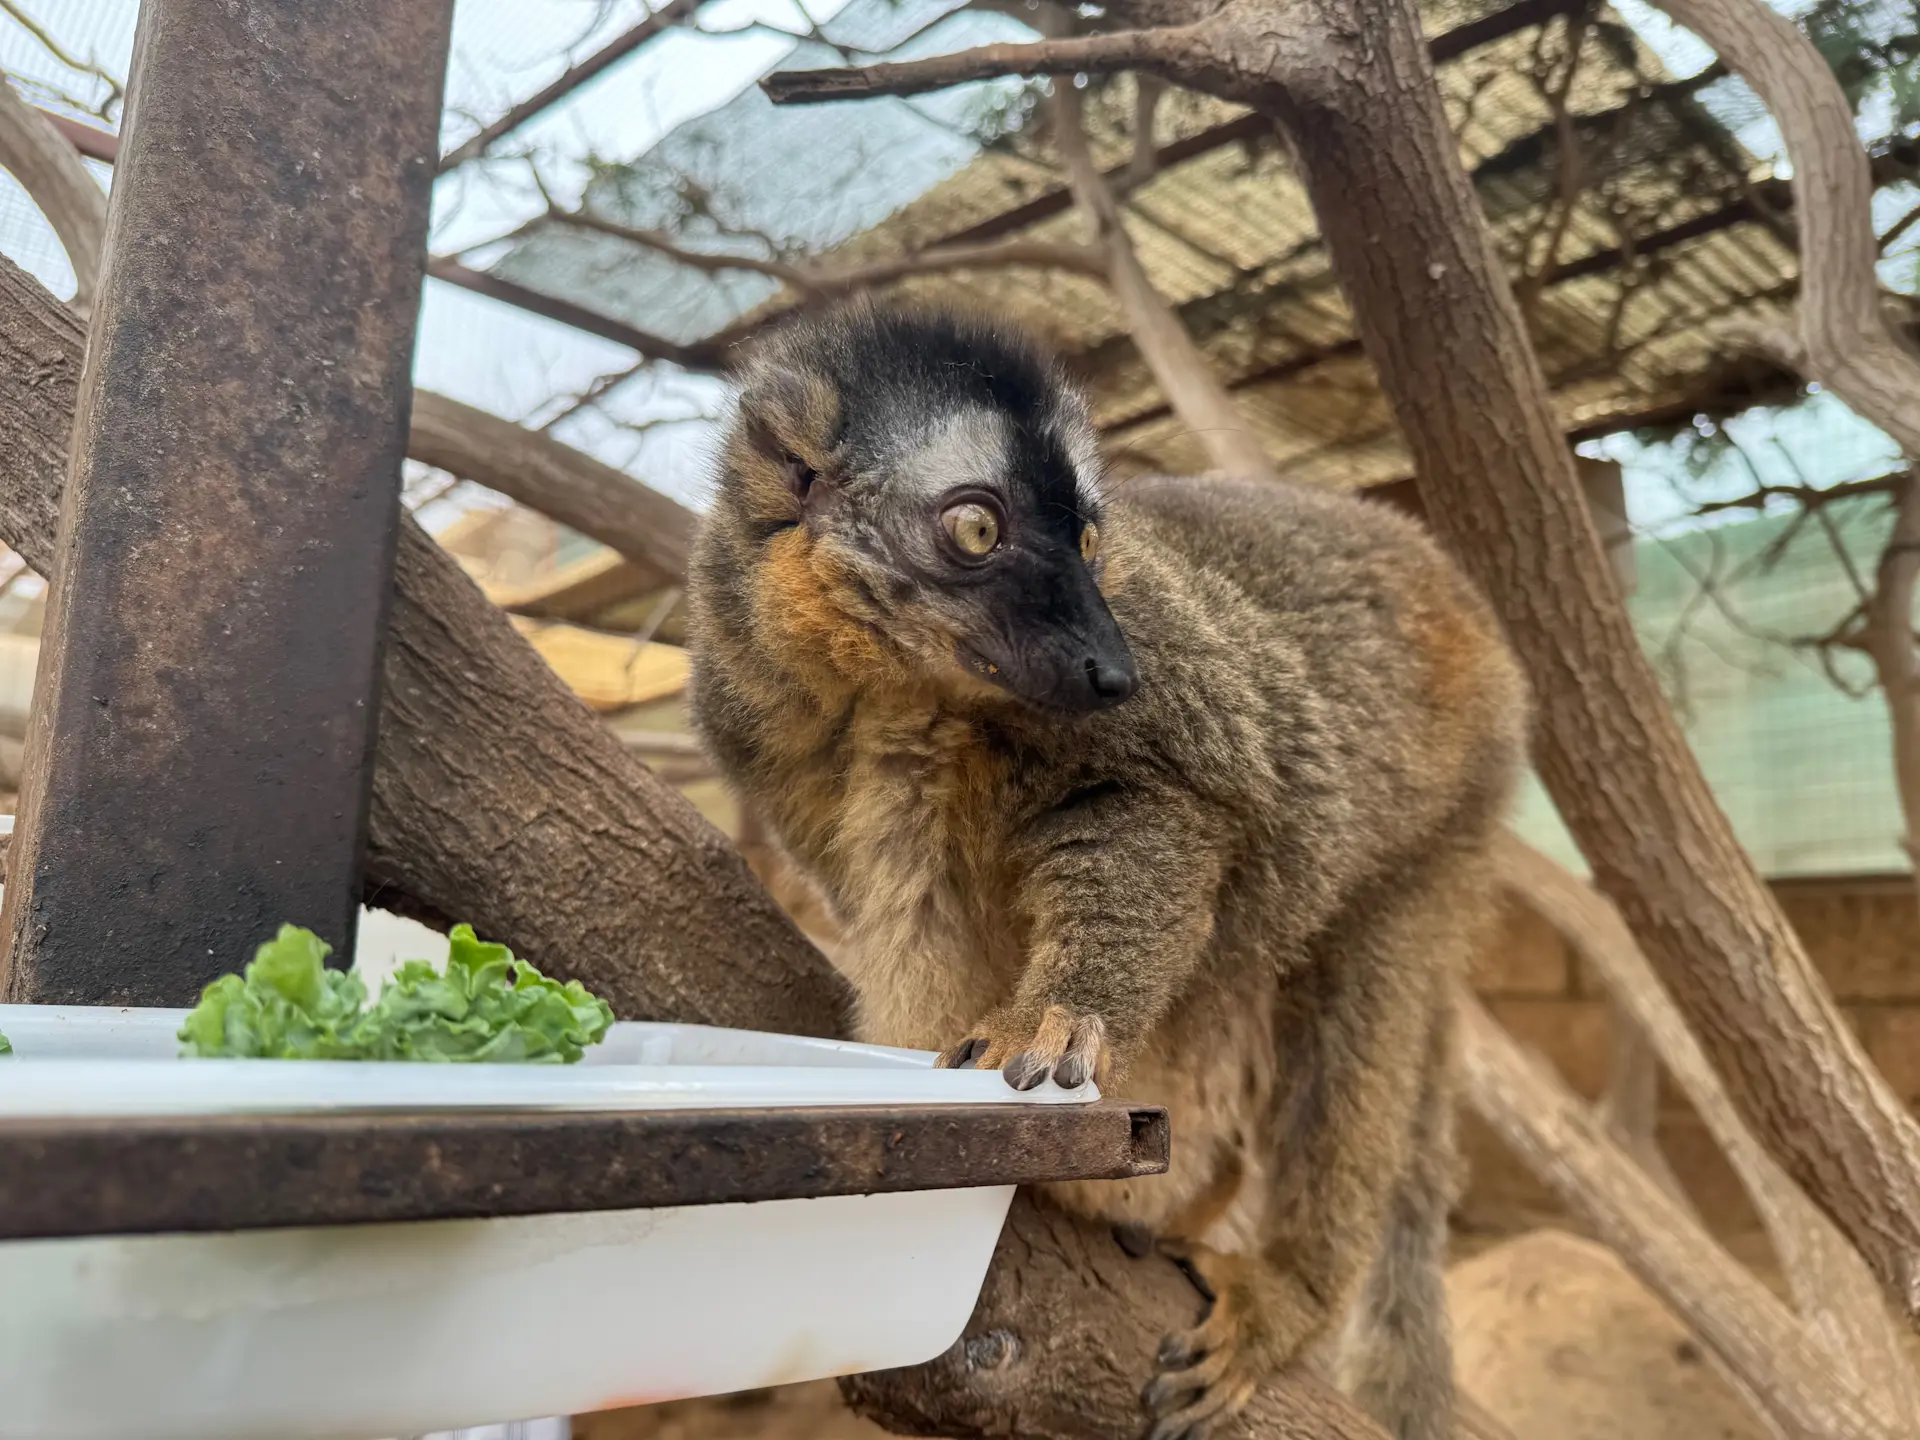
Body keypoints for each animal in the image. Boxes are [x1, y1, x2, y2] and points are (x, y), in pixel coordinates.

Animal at [685, 298, 1529, 1440]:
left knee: (1368, 992)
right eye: (978, 529)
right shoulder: (752, 701)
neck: (908, 688)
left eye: (1090, 536)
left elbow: (1173, 805)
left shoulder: (1166, 658)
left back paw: (1290, 1290)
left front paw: (1057, 1015)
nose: (1108, 668)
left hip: (1455, 800)